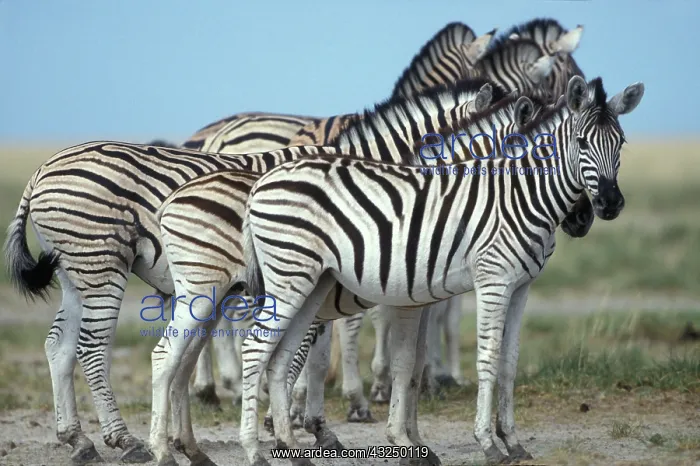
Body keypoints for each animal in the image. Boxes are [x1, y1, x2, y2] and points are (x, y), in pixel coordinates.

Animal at [235, 75, 644, 465]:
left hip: (311, 284)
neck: (517, 194)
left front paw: (510, 441)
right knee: (256, 348)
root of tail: (263, 182)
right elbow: (485, 358)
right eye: (581, 142)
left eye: (621, 143)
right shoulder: (491, 281)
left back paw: (290, 447)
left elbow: (501, 362)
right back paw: (255, 451)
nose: (606, 205)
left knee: (281, 356)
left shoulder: (518, 287)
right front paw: (487, 444)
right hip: (289, 277)